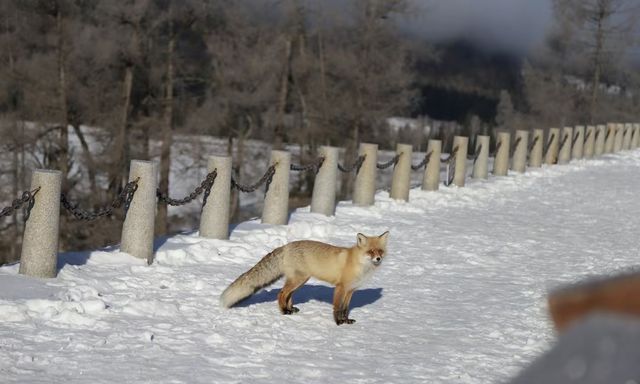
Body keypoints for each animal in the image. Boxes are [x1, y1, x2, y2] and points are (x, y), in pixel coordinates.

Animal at [220, 231, 390, 324]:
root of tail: (285, 246)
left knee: (288, 295)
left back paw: (290, 309)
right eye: (370, 252)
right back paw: (284, 311)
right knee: (281, 293)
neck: (359, 265)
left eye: (380, 251)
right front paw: (338, 323)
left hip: (300, 281)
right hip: (299, 279)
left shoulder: (350, 291)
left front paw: (346, 321)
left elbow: (345, 308)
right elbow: (337, 308)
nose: (378, 259)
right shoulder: (340, 288)